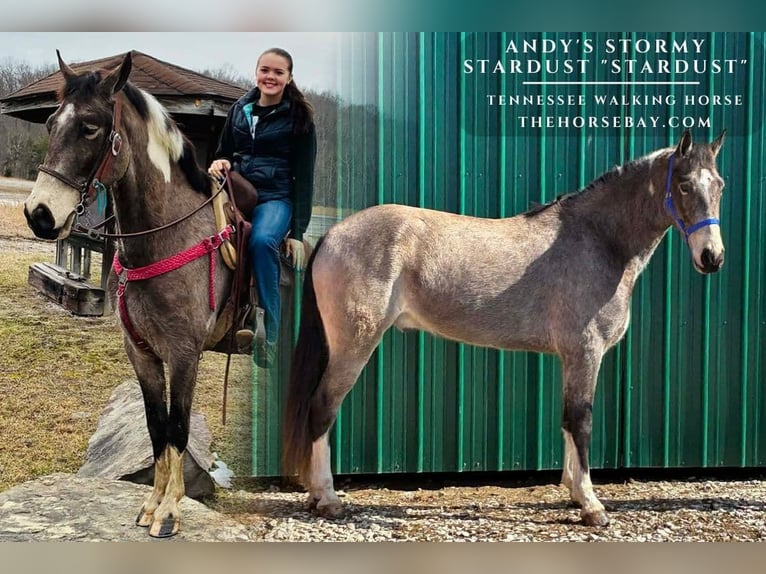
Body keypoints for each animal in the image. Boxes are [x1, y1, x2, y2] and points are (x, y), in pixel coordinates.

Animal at [23, 52, 243, 538]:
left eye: (90, 127)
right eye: (50, 122)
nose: (39, 214)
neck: (172, 236)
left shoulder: (184, 354)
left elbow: (178, 428)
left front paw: (170, 512)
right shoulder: (141, 353)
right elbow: (156, 427)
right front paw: (152, 504)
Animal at [282, 129, 727, 527]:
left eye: (719, 185)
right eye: (684, 185)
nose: (712, 257)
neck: (598, 239)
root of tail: (333, 234)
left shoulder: (571, 357)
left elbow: (567, 420)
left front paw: (572, 492)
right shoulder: (586, 351)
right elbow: (581, 421)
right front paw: (591, 505)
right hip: (353, 346)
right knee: (322, 408)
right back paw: (328, 499)